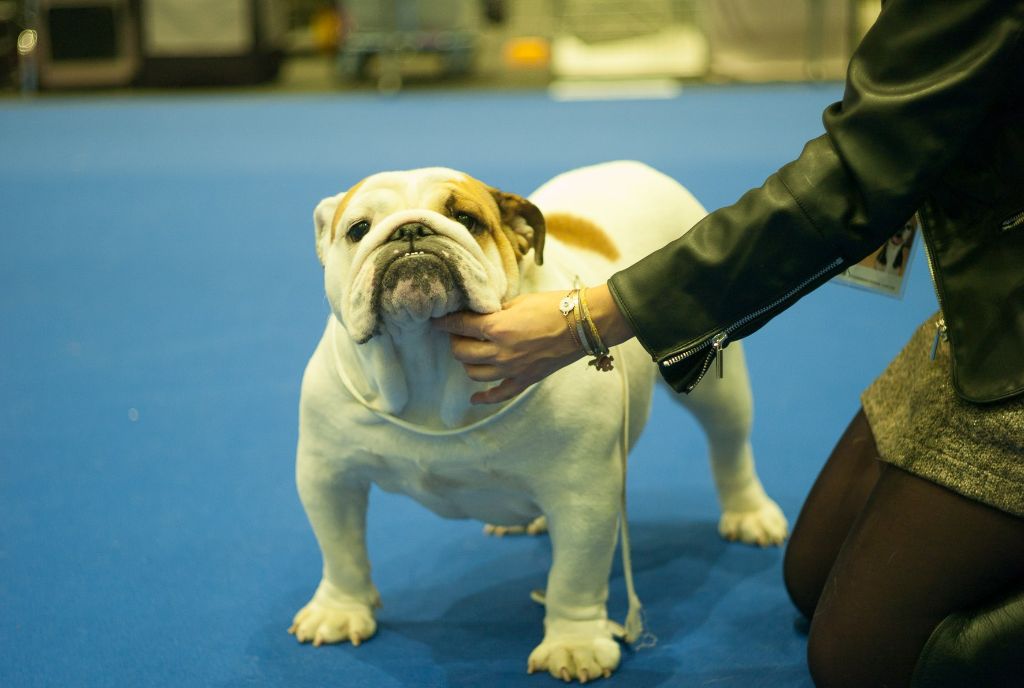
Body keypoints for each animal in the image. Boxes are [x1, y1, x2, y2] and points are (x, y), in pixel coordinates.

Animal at [289, 161, 788, 682]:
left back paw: (750, 514)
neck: (428, 364)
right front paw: (340, 610)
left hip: (716, 380)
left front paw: (574, 644)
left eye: (466, 220)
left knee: (729, 446)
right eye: (358, 230)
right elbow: (341, 550)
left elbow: (574, 575)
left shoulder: (584, 495)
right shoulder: (328, 475)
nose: (410, 231)